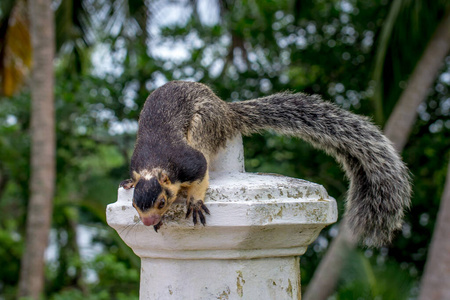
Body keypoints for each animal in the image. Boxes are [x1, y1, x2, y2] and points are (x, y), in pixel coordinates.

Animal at [119, 79, 412, 246]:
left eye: (162, 202)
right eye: (134, 206)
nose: (147, 222)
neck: (154, 164)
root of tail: (227, 111)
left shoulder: (188, 163)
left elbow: (201, 172)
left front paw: (195, 201)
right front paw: (130, 184)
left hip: (207, 122)